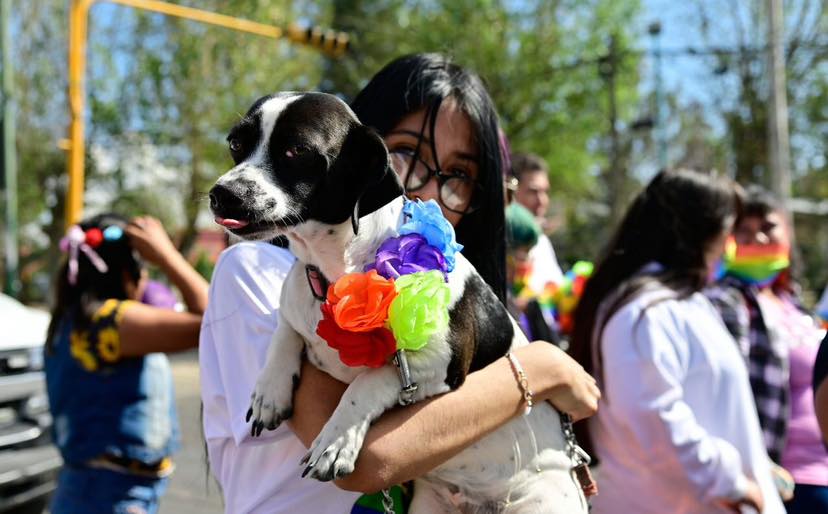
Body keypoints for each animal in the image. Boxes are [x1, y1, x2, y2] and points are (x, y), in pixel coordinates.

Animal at [210, 93, 584, 512]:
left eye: (297, 151)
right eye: (235, 144)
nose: (221, 194)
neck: (339, 271)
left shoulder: (443, 362)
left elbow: (371, 381)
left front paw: (337, 438)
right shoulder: (296, 306)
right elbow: (284, 333)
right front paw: (269, 389)